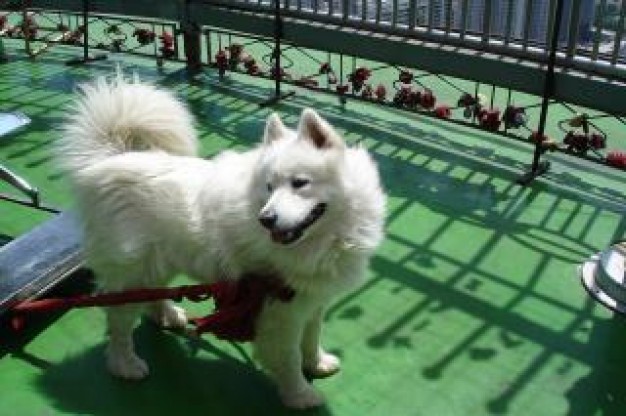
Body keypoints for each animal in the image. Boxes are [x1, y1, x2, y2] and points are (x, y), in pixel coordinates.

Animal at [57, 75, 386, 410]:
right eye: (269, 187)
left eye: (299, 183)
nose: (266, 219)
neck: (326, 238)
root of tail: (109, 159)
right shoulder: (280, 312)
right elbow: (290, 358)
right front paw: (300, 396)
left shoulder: (313, 300)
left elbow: (312, 338)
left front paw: (318, 364)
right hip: (131, 271)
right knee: (119, 322)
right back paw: (125, 365)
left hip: (157, 263)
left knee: (152, 296)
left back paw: (168, 317)